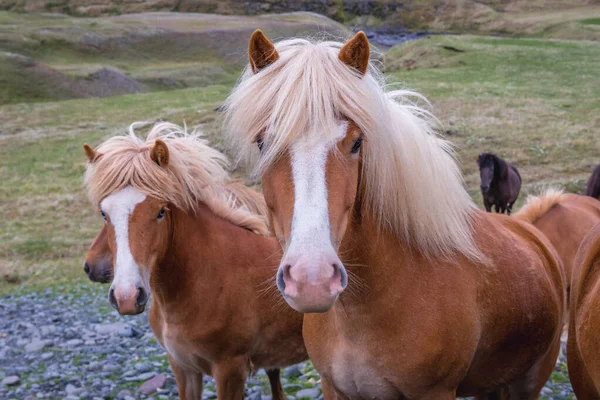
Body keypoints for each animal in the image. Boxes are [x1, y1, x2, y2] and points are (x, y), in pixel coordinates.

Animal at [224, 32, 568, 400]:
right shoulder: (333, 387)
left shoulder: (435, 391)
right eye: (262, 142)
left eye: (356, 143)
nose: (311, 280)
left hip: (528, 380)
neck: (362, 310)